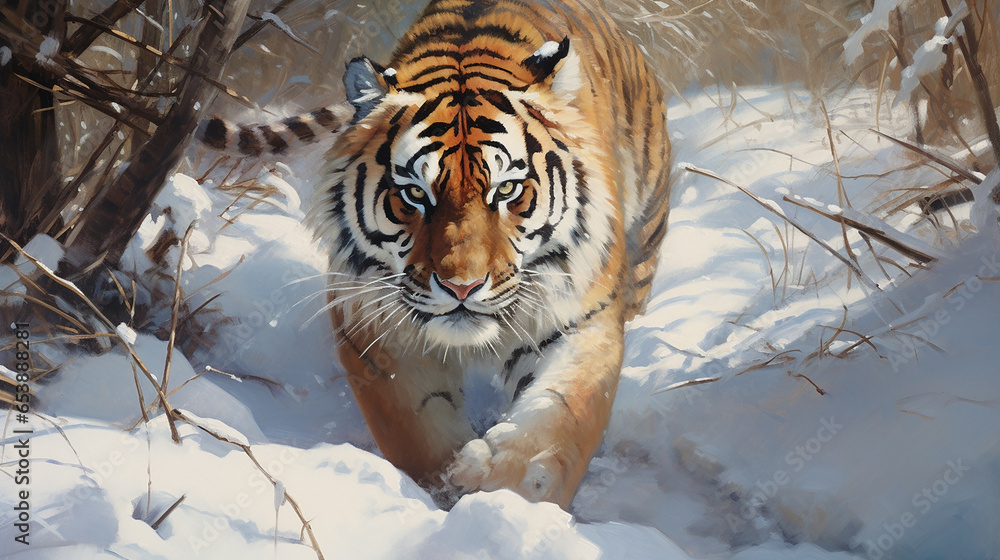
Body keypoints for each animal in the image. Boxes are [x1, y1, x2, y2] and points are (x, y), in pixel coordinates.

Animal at [203, 0, 671, 509]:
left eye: (507, 189)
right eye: (414, 194)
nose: (461, 287)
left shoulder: (582, 318)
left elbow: (556, 422)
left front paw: (507, 496)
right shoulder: (377, 330)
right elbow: (418, 431)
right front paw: (450, 488)